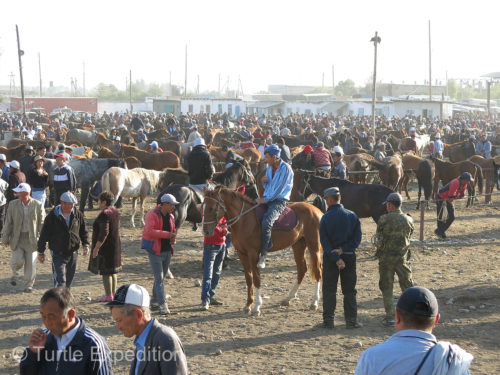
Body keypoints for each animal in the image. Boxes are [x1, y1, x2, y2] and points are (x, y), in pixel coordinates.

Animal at [201, 187, 322, 316]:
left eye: (212, 208)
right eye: (202, 206)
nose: (205, 231)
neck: (244, 220)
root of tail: (317, 211)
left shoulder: (253, 253)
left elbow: (256, 278)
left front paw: (257, 306)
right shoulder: (241, 253)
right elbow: (248, 278)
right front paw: (248, 305)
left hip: (314, 247)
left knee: (318, 271)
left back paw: (314, 302)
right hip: (298, 245)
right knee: (302, 269)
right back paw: (288, 298)